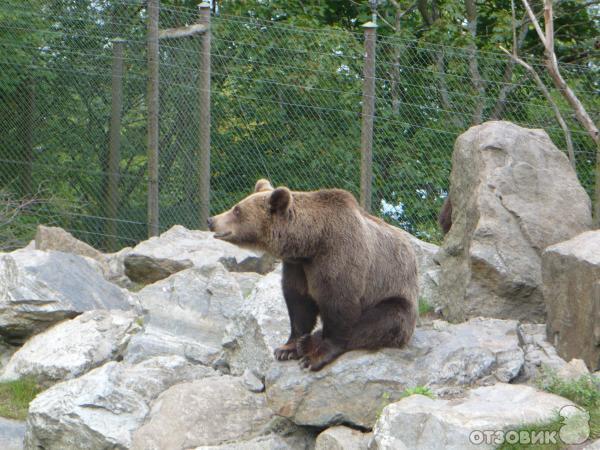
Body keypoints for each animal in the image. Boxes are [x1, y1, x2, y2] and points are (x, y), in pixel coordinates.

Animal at [206, 181, 418, 370]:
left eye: (237, 210)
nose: (211, 220)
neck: (313, 242)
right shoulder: (297, 267)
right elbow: (298, 304)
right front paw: (287, 348)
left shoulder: (339, 257)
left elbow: (339, 305)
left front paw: (315, 356)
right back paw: (306, 342)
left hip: (396, 297)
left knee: (381, 321)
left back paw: (310, 344)